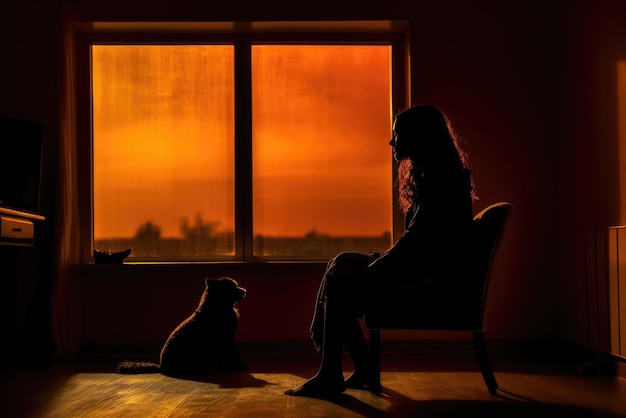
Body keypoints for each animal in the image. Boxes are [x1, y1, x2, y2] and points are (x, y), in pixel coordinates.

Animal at [117, 278, 246, 376]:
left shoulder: (222, 341)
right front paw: (239, 367)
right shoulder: (227, 338)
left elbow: (223, 356)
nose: (245, 290)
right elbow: (233, 354)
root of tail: (161, 366)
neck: (219, 305)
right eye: (233, 287)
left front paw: (225, 366)